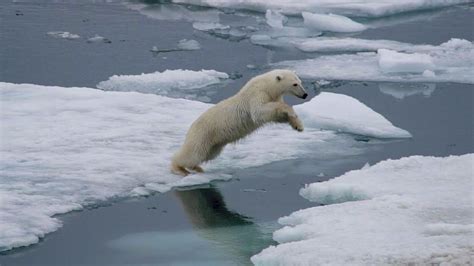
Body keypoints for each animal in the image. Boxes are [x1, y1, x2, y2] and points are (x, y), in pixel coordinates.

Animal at [170, 69, 308, 176]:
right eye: (295, 84)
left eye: (300, 82)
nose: (305, 94)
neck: (267, 86)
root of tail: (191, 127)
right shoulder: (257, 94)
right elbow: (259, 112)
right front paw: (290, 111)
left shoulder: (273, 96)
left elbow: (276, 116)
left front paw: (298, 125)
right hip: (203, 134)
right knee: (192, 154)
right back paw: (178, 168)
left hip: (214, 143)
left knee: (207, 155)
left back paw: (197, 168)